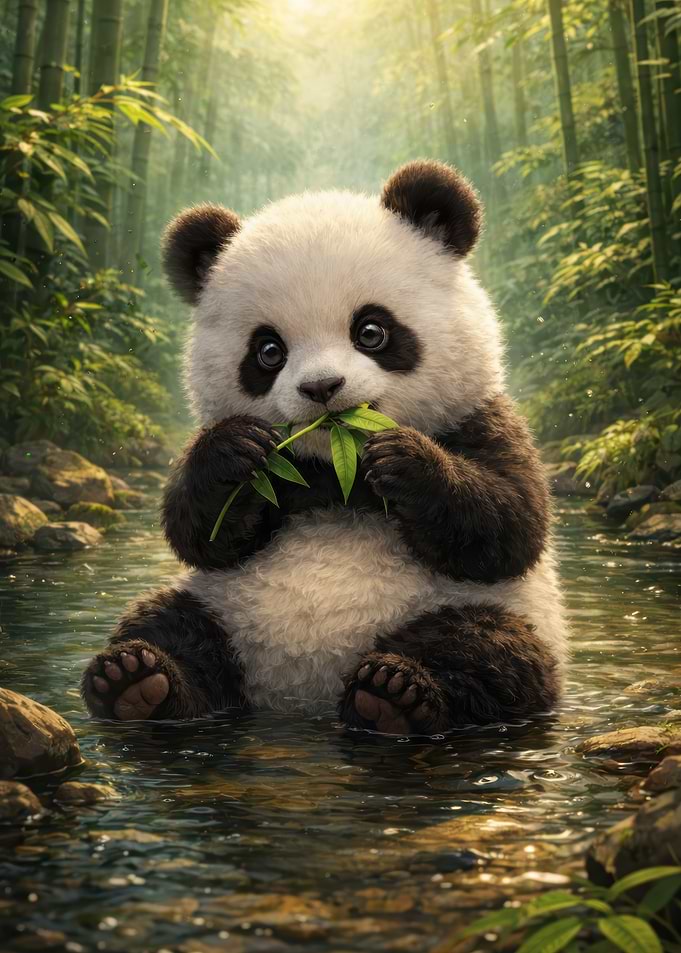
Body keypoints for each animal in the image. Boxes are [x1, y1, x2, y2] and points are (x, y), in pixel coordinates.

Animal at [81, 160, 568, 735]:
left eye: (371, 331)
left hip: (488, 612)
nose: (321, 387)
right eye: (269, 351)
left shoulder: (478, 418)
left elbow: (510, 525)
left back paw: (395, 694)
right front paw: (232, 455)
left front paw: (405, 463)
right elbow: (201, 535)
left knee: (487, 651)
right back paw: (135, 680)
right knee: (169, 624)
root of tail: (299, 693)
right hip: (222, 607)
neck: (335, 464)